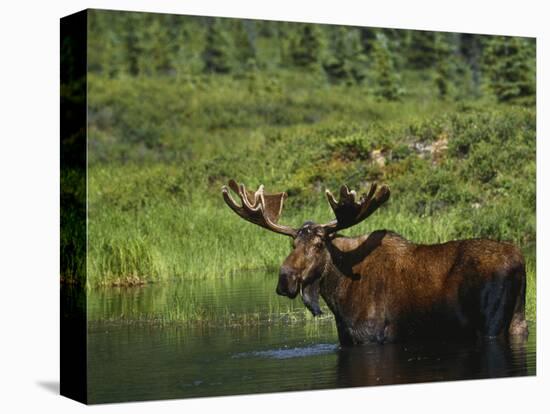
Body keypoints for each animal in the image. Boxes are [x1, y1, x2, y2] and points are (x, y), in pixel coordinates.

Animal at [222, 180, 528, 344]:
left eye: (319, 245)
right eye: (292, 244)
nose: (285, 280)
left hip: (490, 324)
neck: (338, 295)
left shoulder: (371, 336)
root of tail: (520, 262)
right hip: (517, 321)